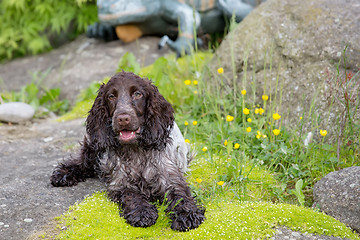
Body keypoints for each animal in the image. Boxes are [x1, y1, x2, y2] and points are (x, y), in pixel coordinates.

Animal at [50, 71, 205, 231]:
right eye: (111, 96)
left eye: (137, 94)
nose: (123, 118)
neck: (136, 149)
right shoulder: (120, 182)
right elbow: (131, 195)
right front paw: (142, 212)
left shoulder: (170, 176)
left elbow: (180, 195)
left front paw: (187, 215)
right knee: (84, 160)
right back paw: (63, 174)